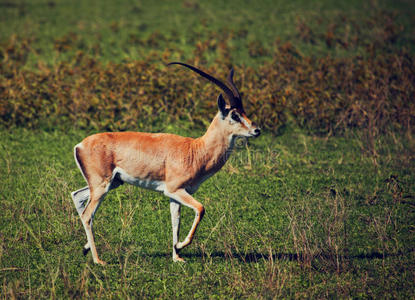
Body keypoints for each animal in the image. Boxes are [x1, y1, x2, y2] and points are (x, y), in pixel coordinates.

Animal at [71, 62, 260, 264]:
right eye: (234, 115)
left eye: (244, 112)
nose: (257, 130)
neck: (195, 150)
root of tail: (80, 145)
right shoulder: (174, 189)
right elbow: (200, 208)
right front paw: (181, 246)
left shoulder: (175, 195)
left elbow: (175, 221)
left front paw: (177, 257)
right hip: (102, 186)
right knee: (87, 215)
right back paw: (98, 260)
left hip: (112, 183)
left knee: (77, 196)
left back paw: (85, 248)